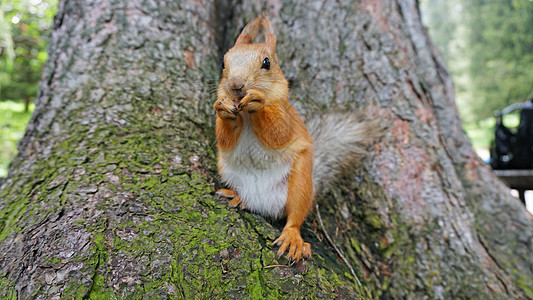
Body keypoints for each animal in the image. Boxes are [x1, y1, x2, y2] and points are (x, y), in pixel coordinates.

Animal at [214, 15, 376, 262]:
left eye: (266, 63)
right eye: (223, 63)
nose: (236, 85)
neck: (246, 116)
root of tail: (263, 202)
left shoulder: (288, 118)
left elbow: (278, 133)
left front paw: (258, 102)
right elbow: (225, 139)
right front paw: (223, 108)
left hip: (300, 183)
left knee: (295, 216)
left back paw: (293, 238)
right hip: (230, 173)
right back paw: (239, 197)